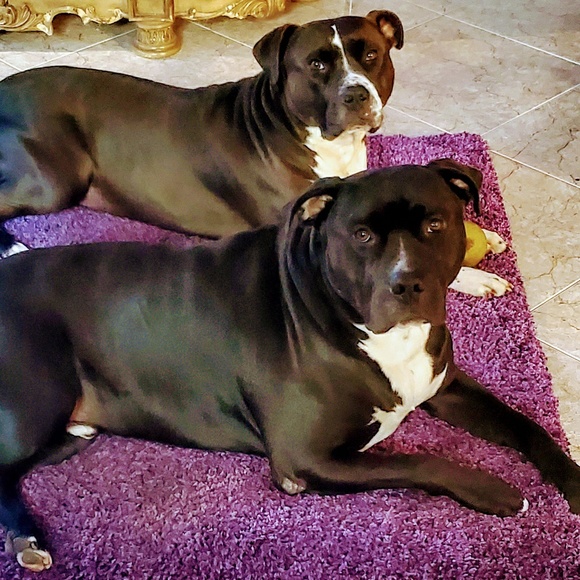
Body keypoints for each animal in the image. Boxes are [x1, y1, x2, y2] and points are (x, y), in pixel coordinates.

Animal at [0, 11, 509, 298]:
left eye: (371, 55)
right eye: (317, 64)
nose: (356, 95)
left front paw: (480, 234)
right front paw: (474, 277)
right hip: (54, 178)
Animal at [0, 159, 577, 572]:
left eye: (435, 225)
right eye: (362, 235)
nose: (407, 283)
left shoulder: (447, 387)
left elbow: (529, 428)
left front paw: (572, 480)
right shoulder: (306, 459)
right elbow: (420, 461)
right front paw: (493, 490)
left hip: (63, 431)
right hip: (36, 402)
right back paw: (28, 539)